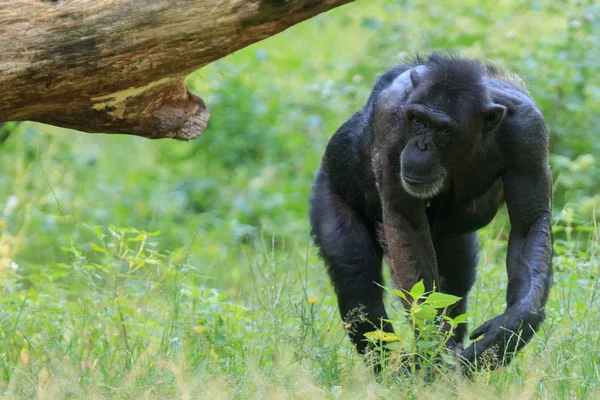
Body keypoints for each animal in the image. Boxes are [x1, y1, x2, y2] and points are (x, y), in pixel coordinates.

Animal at [310, 54, 552, 372]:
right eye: (417, 120)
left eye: (444, 130)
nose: (421, 146)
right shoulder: (391, 121)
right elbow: (405, 224)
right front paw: (434, 351)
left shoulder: (529, 132)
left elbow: (529, 224)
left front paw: (512, 329)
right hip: (330, 186)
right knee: (355, 276)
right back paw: (391, 372)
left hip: (453, 242)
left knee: (456, 284)